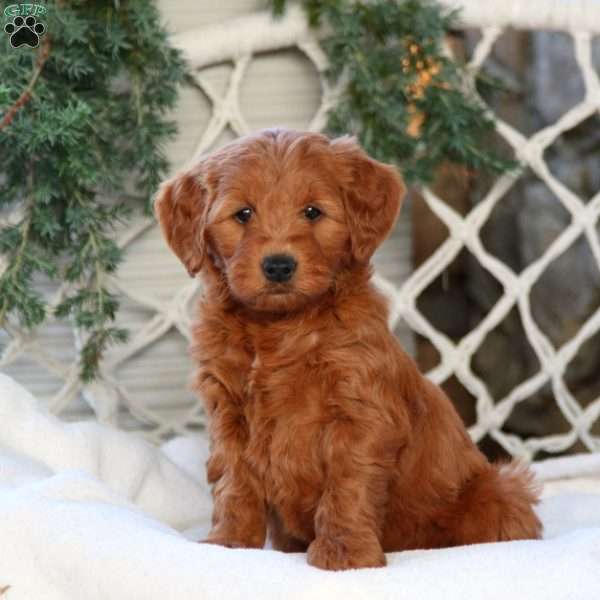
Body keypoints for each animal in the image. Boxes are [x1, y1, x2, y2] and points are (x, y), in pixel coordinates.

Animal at [157, 129, 540, 568]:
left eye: (312, 212)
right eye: (243, 214)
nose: (278, 266)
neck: (279, 327)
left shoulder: (362, 413)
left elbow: (348, 483)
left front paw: (345, 551)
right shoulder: (227, 411)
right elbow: (233, 480)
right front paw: (230, 541)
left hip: (497, 493)